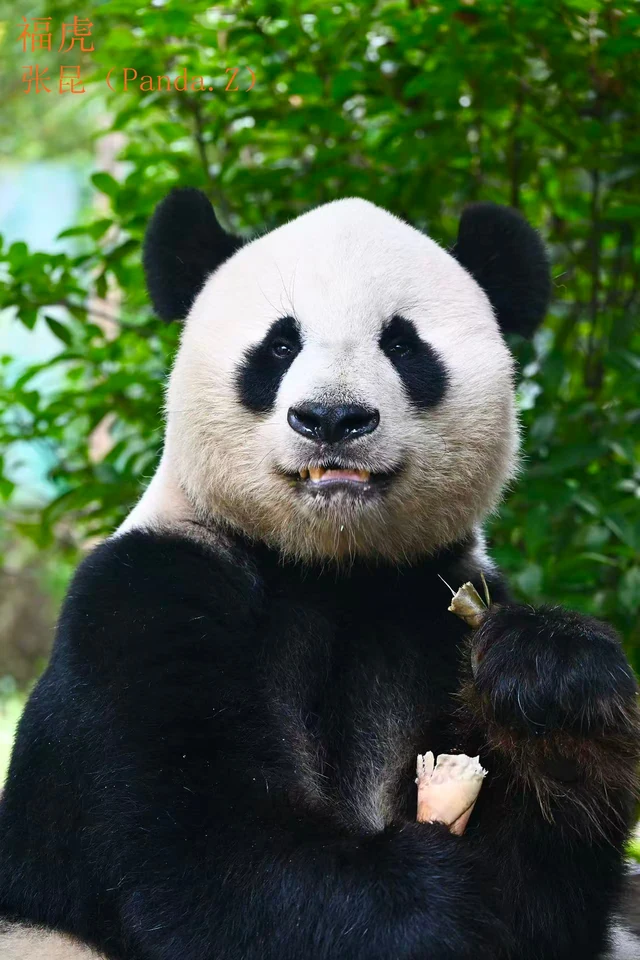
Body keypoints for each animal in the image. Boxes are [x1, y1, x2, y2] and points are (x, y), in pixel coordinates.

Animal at [0, 189, 639, 960]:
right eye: (280, 345)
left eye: (403, 344)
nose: (332, 418)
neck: (332, 567)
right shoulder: (143, 600)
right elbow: (203, 851)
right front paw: (434, 898)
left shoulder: (428, 613)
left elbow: (547, 907)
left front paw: (552, 684)